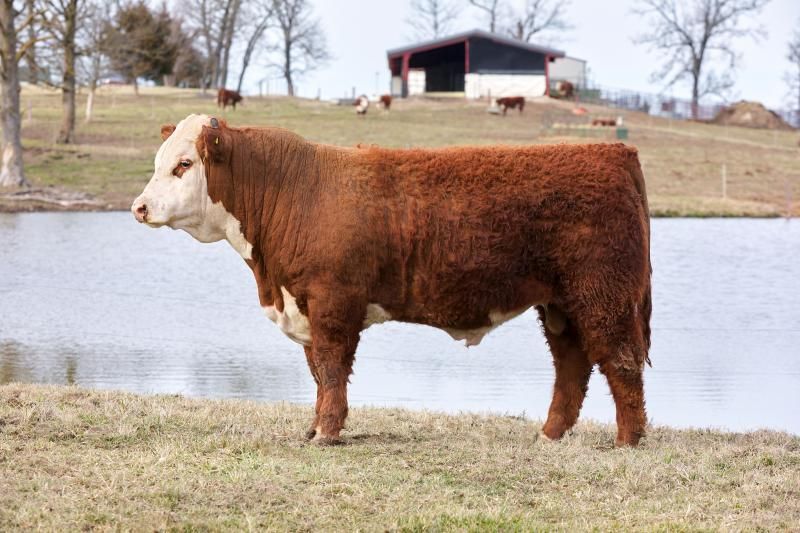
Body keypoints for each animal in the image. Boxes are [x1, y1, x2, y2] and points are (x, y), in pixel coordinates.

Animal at [131, 114, 652, 447]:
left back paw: (627, 442)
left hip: (603, 295)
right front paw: (314, 428)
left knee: (621, 363)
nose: (139, 207)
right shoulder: (307, 306)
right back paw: (549, 435)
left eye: (183, 164)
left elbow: (332, 368)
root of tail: (614, 151)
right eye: (160, 162)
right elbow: (317, 372)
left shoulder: (333, 303)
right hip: (560, 305)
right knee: (572, 366)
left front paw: (326, 433)